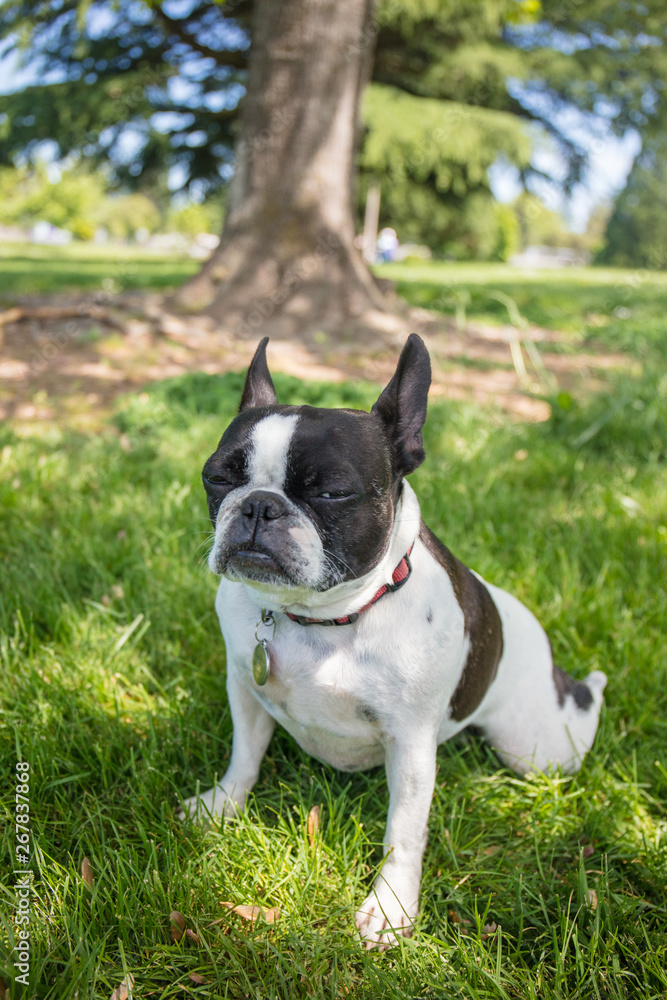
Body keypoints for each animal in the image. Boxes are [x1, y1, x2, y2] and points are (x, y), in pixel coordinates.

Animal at [181, 334, 604, 944]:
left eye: (333, 493)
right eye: (218, 479)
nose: (258, 504)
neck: (322, 619)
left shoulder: (410, 745)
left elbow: (403, 833)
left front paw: (389, 907)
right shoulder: (246, 686)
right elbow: (245, 755)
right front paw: (220, 806)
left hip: (542, 751)